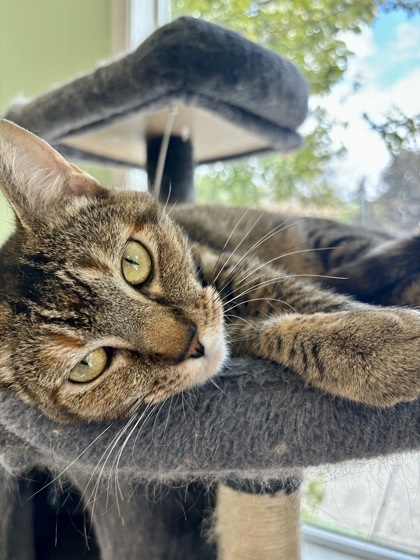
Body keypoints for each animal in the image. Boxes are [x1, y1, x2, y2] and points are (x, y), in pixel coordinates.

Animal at [0, 116, 420, 556]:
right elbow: (273, 329)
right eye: (88, 366)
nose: (192, 342)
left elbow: (299, 293)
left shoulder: (231, 267)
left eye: (134, 261)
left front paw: (374, 335)